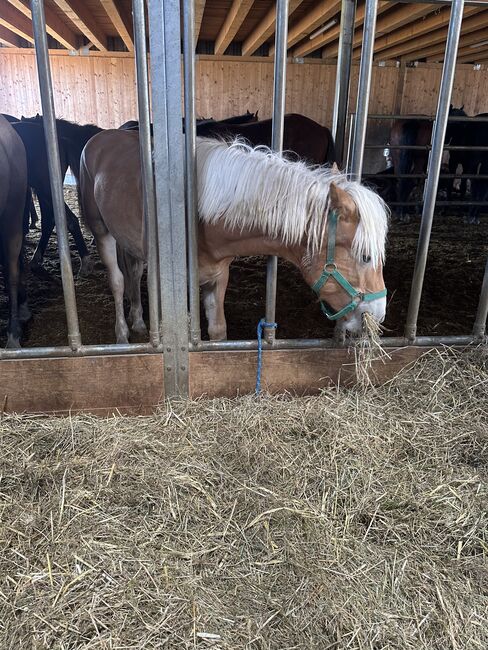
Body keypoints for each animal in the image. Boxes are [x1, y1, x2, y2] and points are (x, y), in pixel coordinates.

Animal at [79, 130, 386, 344]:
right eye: (365, 256)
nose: (378, 315)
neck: (198, 215)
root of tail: (100, 138)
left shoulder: (217, 277)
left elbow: (217, 330)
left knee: (133, 274)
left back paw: (138, 322)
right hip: (102, 233)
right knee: (118, 281)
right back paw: (122, 334)